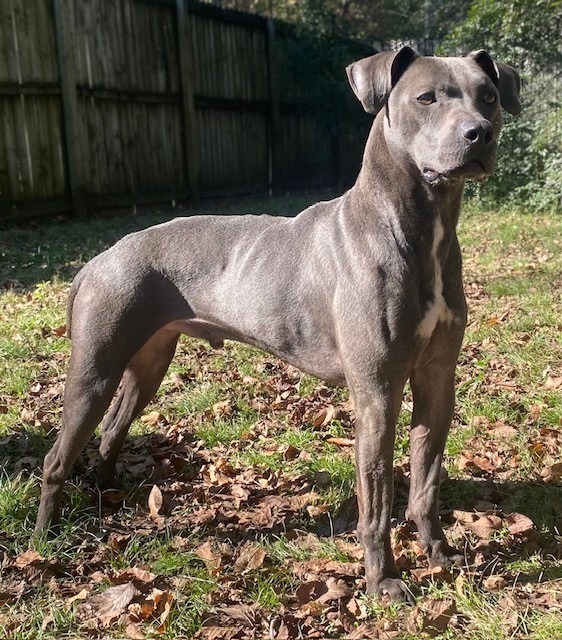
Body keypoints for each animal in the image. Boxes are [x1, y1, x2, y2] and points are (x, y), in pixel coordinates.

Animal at [34, 48, 516, 600]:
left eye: (489, 96)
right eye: (426, 98)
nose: (480, 133)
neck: (415, 227)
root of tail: (97, 260)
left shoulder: (437, 380)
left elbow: (426, 481)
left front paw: (438, 554)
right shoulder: (376, 392)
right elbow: (376, 499)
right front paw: (384, 581)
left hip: (149, 363)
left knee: (112, 429)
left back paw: (106, 496)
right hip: (94, 370)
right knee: (56, 458)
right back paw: (45, 540)